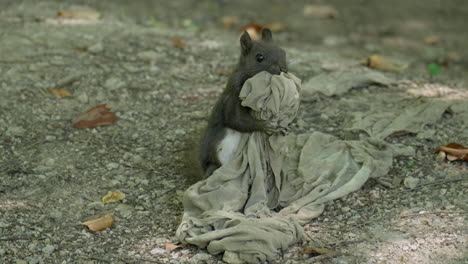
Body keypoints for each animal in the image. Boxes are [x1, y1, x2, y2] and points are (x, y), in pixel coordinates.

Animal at [198, 28, 288, 177]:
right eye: (259, 57)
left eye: (283, 51)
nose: (283, 68)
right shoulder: (233, 95)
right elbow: (235, 119)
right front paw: (266, 126)